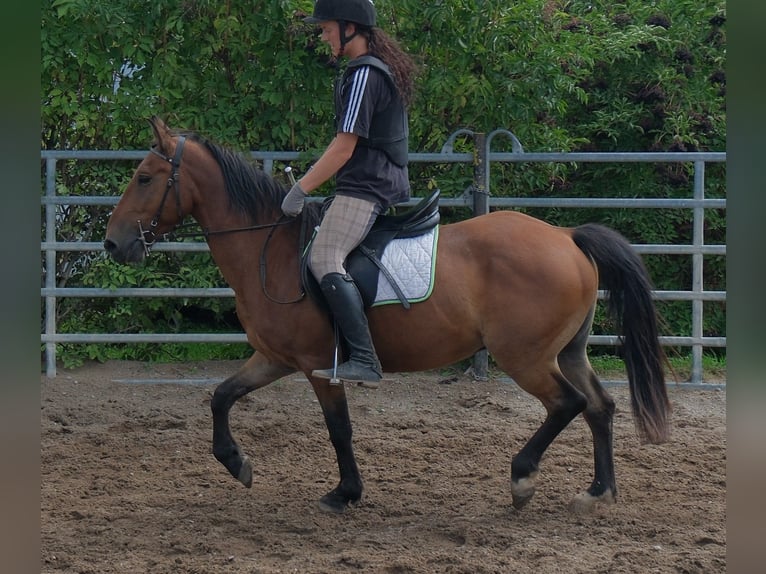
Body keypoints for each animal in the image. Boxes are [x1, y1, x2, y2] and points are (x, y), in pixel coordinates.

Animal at [104, 116, 670, 515]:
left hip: (525, 358)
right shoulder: (274, 357)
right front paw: (236, 462)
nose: (113, 244)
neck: (271, 249)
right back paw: (598, 493)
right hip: (568, 351)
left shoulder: (319, 364)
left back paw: (522, 476)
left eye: (145, 177)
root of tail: (567, 237)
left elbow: (339, 430)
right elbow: (221, 396)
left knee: (567, 404)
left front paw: (345, 492)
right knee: (599, 407)